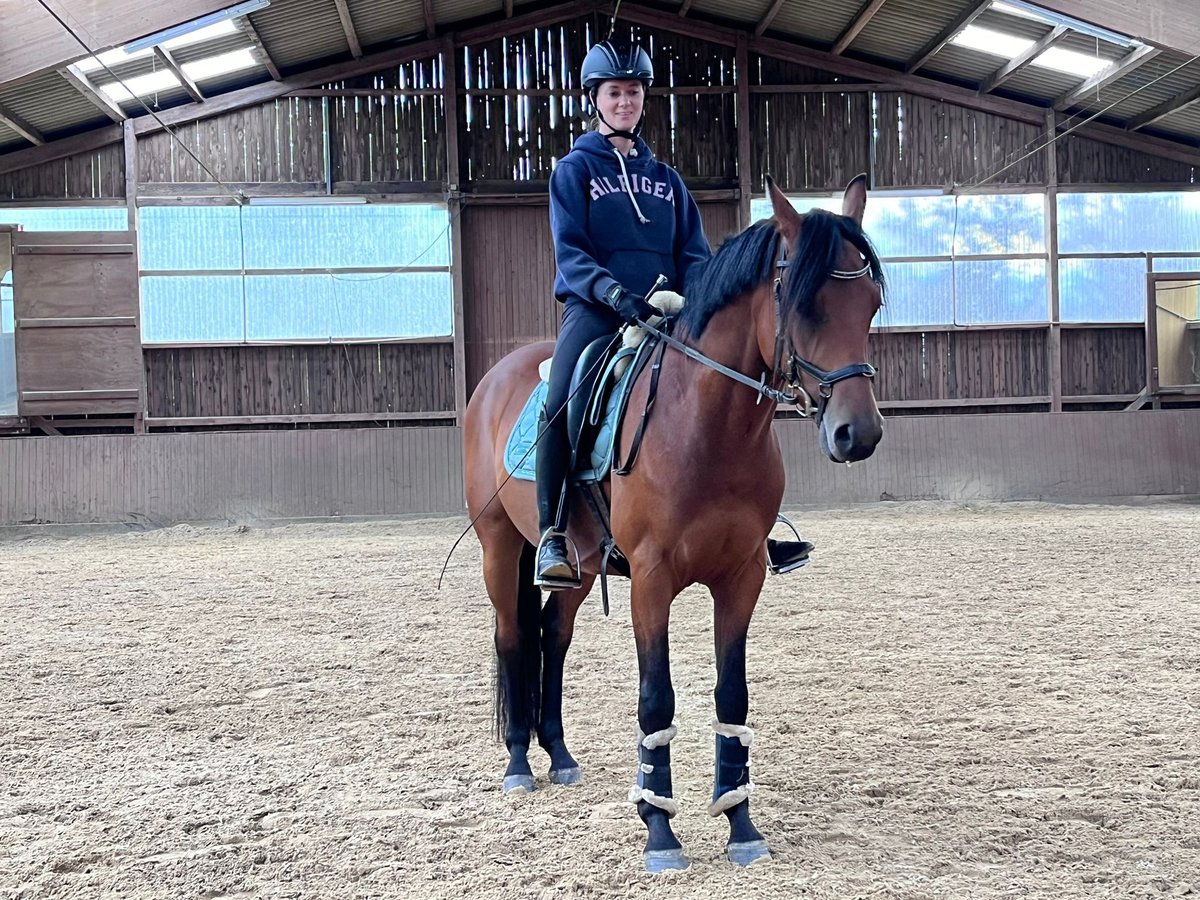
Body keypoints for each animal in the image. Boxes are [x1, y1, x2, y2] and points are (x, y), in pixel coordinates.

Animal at [463, 176, 888, 873]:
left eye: (871, 304)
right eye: (805, 305)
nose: (859, 433)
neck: (707, 426)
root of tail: (496, 379)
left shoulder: (741, 578)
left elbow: (732, 695)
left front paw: (740, 823)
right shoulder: (651, 580)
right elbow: (656, 698)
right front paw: (659, 830)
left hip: (581, 567)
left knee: (554, 636)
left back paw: (560, 755)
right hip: (500, 548)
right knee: (513, 637)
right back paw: (521, 763)